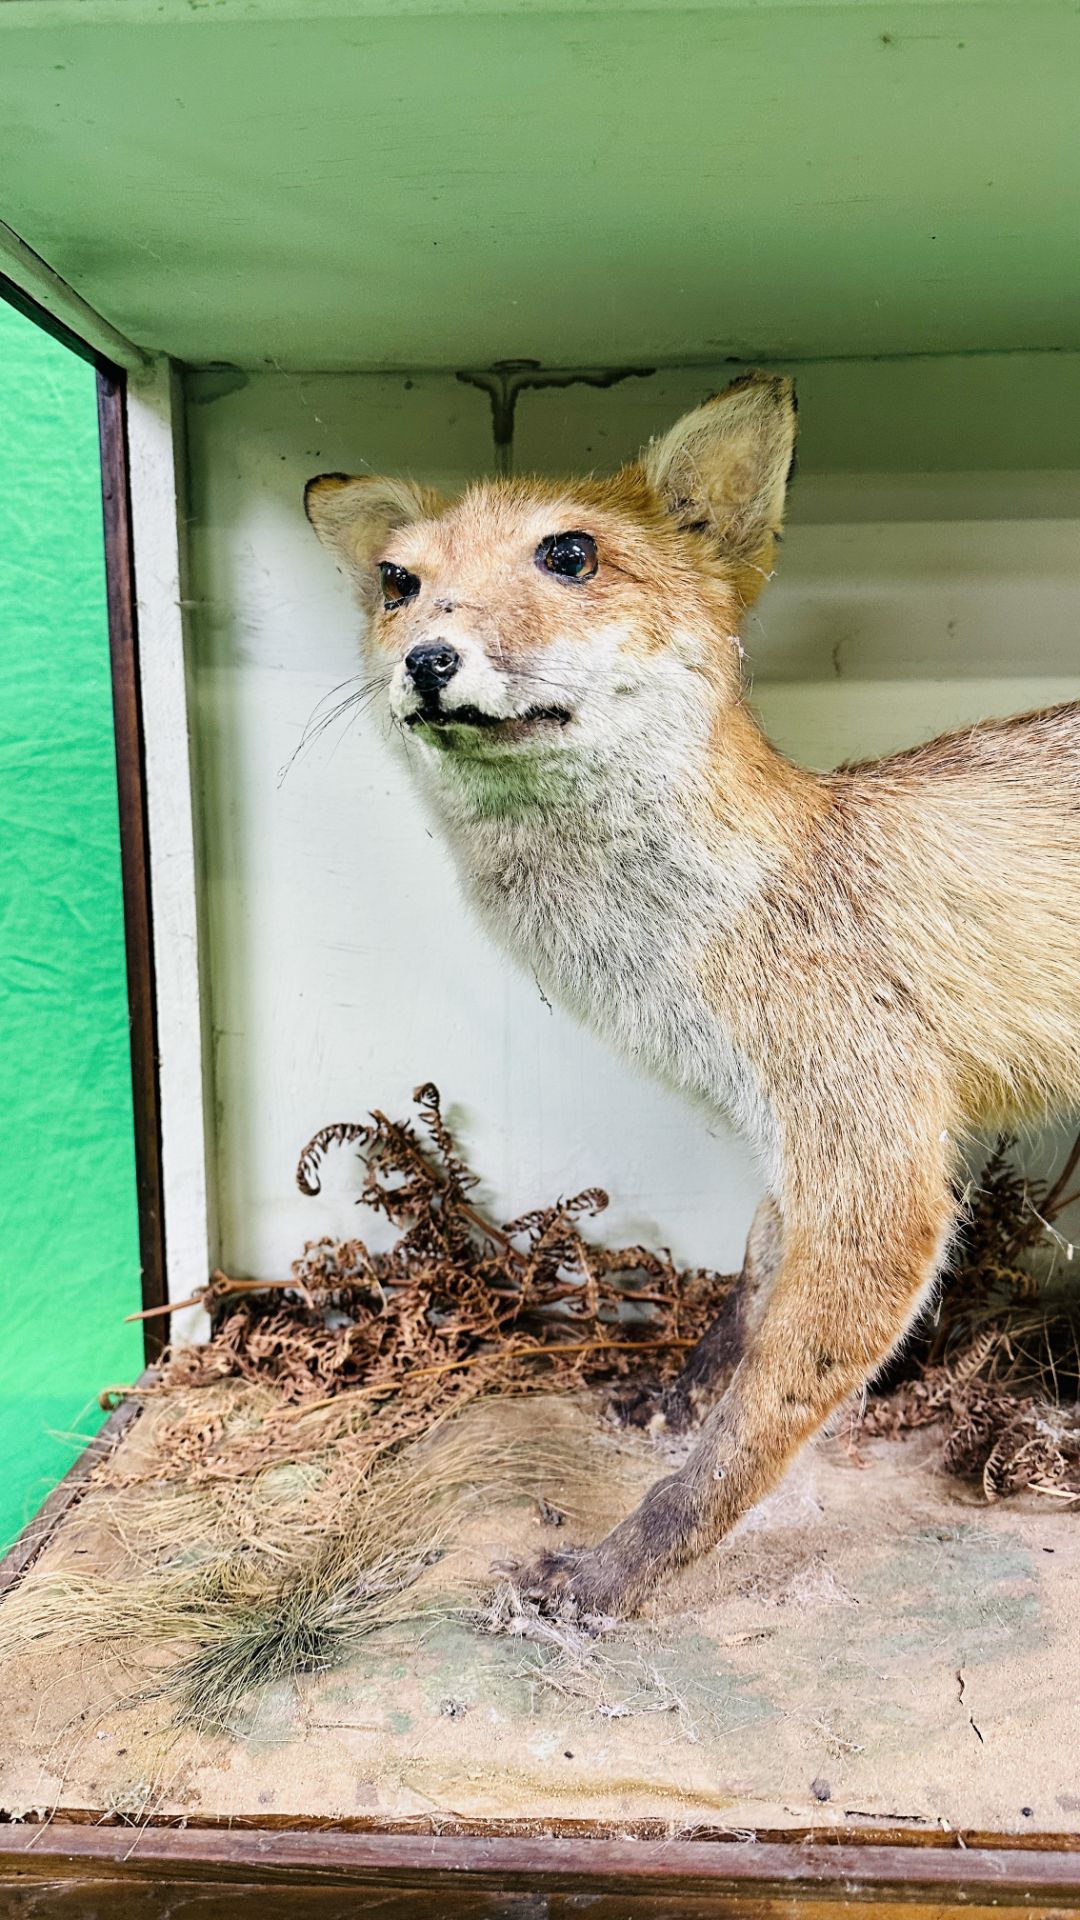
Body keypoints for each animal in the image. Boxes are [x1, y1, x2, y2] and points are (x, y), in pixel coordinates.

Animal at [305, 366, 1076, 1612]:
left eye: (569, 554)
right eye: (397, 581)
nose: (425, 658)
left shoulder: (875, 1163)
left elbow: (758, 1421)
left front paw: (618, 1572)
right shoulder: (790, 1132)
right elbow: (748, 1295)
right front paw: (673, 1399)